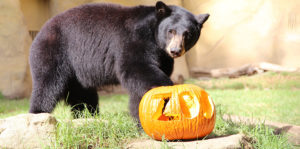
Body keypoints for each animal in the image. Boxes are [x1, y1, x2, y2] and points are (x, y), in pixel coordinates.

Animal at [29, 1, 209, 121]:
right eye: (171, 31)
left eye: (187, 34)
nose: (175, 50)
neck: (153, 36)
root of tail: (40, 31)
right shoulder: (133, 39)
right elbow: (136, 68)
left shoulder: (162, 57)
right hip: (55, 52)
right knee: (47, 84)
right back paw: (38, 113)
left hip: (77, 70)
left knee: (82, 94)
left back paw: (86, 114)